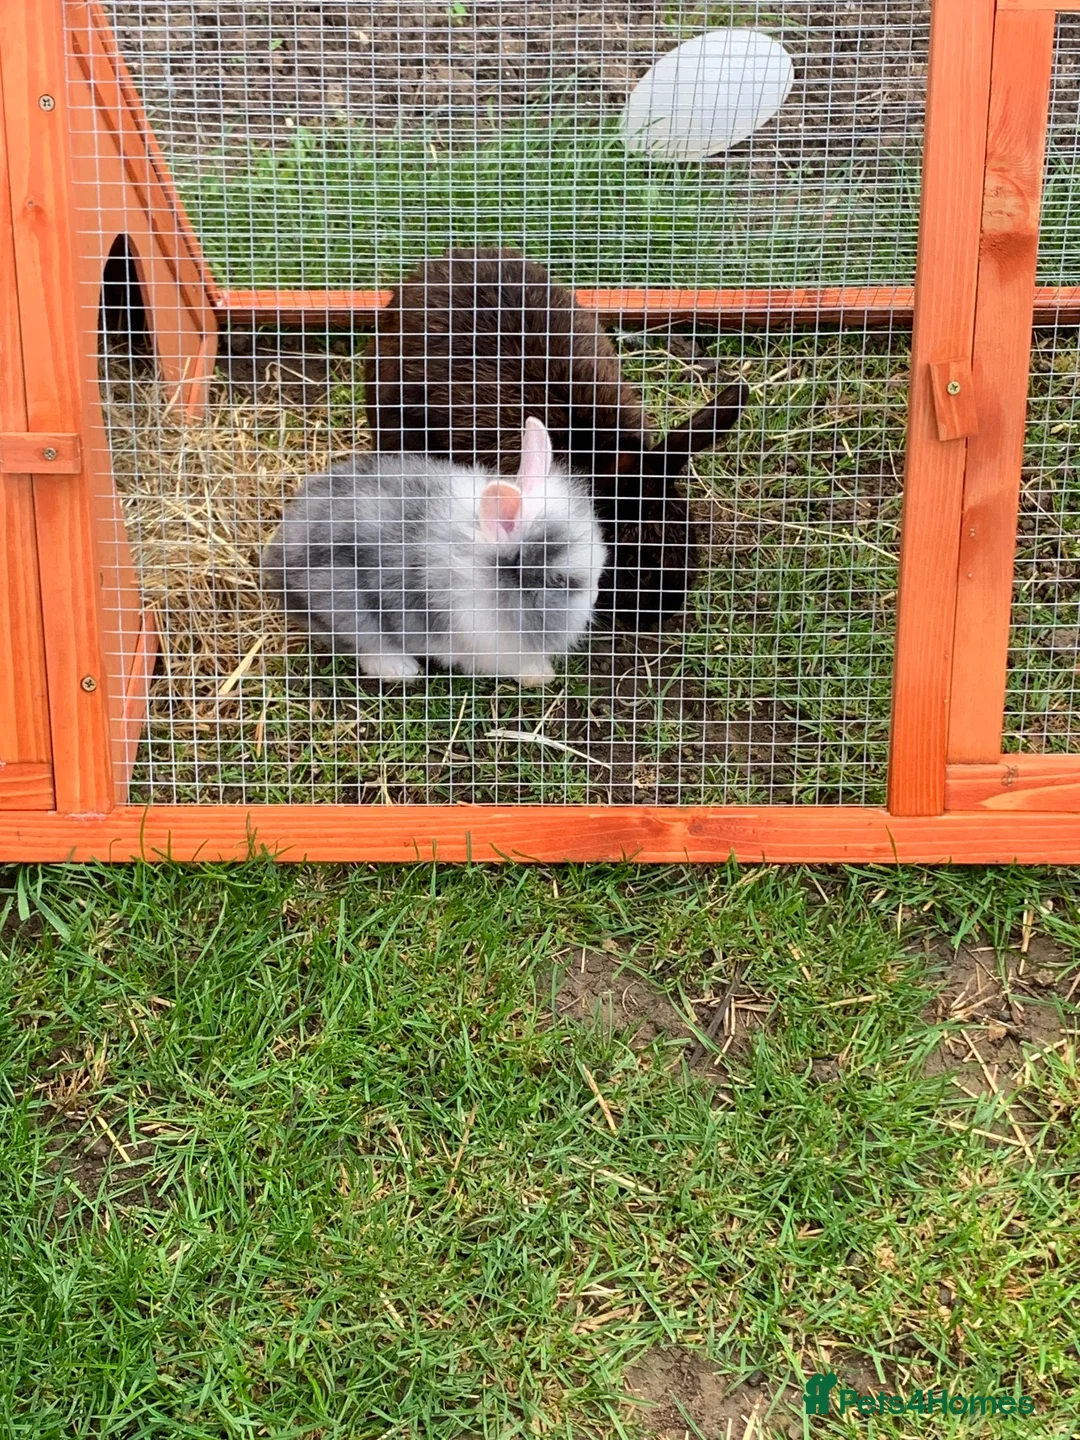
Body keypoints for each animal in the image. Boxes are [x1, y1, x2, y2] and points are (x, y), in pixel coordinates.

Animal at [262, 417, 607, 685]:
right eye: (559, 581)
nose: (594, 598)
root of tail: (275, 562)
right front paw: (540, 675)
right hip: (345, 604)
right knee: (365, 644)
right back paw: (402, 669)